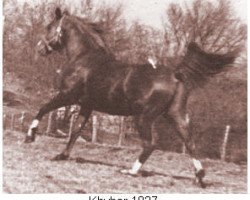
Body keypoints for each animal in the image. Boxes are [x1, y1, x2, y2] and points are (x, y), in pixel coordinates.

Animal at [24, 6, 239, 188]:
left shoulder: (68, 96)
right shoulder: (86, 106)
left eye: (49, 27)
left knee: (150, 144)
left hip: (143, 117)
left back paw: (131, 171)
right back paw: (199, 178)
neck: (83, 59)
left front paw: (30, 137)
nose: (40, 48)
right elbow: (76, 130)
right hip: (175, 115)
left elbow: (43, 108)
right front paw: (62, 155)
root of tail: (175, 74)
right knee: (190, 142)